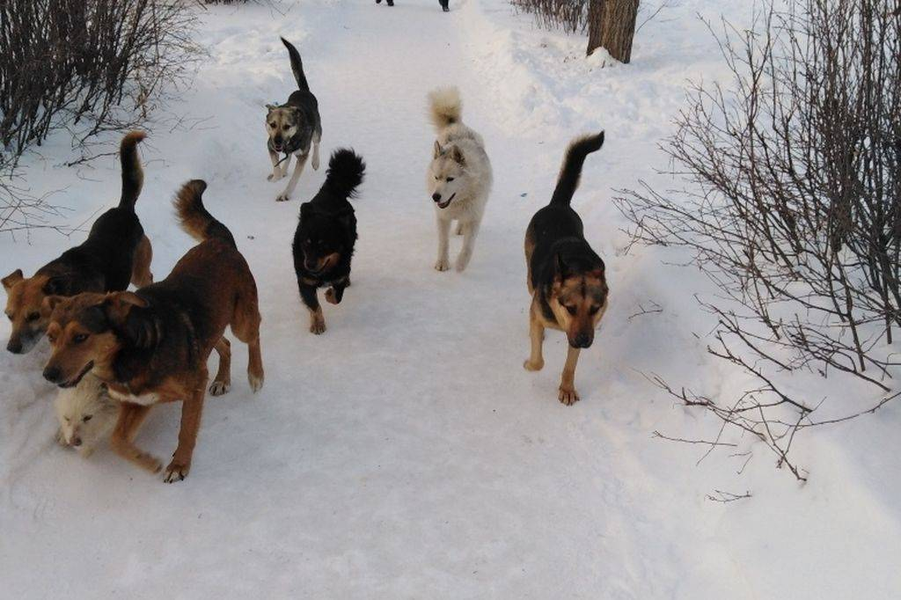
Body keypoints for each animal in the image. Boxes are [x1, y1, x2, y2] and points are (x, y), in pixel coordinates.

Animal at [2, 131, 153, 354]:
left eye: (34, 315)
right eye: (9, 316)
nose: (12, 348)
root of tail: (124, 209)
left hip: (138, 272)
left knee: (148, 276)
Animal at [41, 182, 264, 482]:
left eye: (81, 337)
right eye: (51, 337)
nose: (48, 374)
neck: (132, 353)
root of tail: (220, 242)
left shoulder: (194, 387)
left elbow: (186, 432)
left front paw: (179, 465)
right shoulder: (139, 402)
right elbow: (117, 441)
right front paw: (147, 462)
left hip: (242, 319)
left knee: (253, 333)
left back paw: (256, 374)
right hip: (210, 330)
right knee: (225, 344)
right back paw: (222, 380)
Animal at [296, 148, 366, 336]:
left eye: (325, 245)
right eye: (306, 243)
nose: (309, 264)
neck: (323, 270)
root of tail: (333, 189)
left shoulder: (339, 274)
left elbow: (337, 296)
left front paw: (328, 294)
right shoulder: (305, 281)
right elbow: (314, 305)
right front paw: (317, 324)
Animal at [428, 86, 492, 272]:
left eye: (450, 179)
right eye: (436, 177)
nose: (435, 197)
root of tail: (455, 124)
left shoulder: (475, 217)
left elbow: (468, 246)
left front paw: (460, 264)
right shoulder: (442, 217)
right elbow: (443, 243)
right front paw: (442, 263)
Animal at [524, 131, 608, 404]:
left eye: (595, 308)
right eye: (569, 307)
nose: (584, 341)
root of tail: (558, 204)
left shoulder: (578, 330)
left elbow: (570, 365)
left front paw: (567, 388)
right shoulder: (545, 316)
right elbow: (538, 361)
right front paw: (530, 364)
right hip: (529, 273)